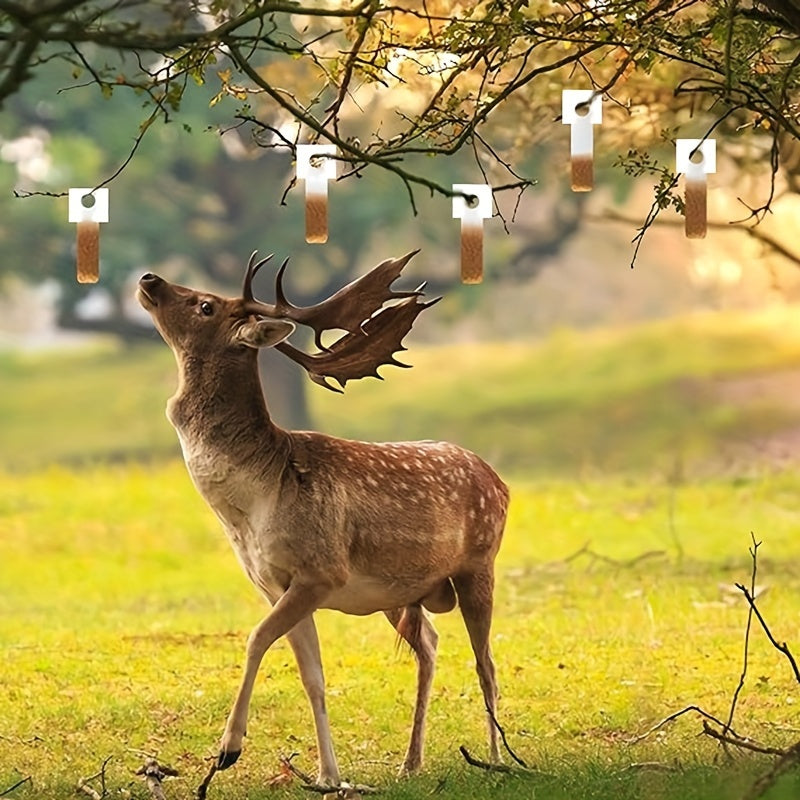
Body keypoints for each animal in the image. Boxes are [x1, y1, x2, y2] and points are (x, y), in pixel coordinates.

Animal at [136, 250, 509, 789]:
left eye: (206, 305)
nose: (149, 279)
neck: (252, 503)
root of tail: (500, 481)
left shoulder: (320, 570)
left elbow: (255, 638)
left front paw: (228, 749)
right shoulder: (276, 584)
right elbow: (313, 676)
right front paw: (328, 776)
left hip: (480, 563)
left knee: (487, 662)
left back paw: (499, 759)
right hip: (401, 593)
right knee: (431, 645)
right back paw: (411, 761)